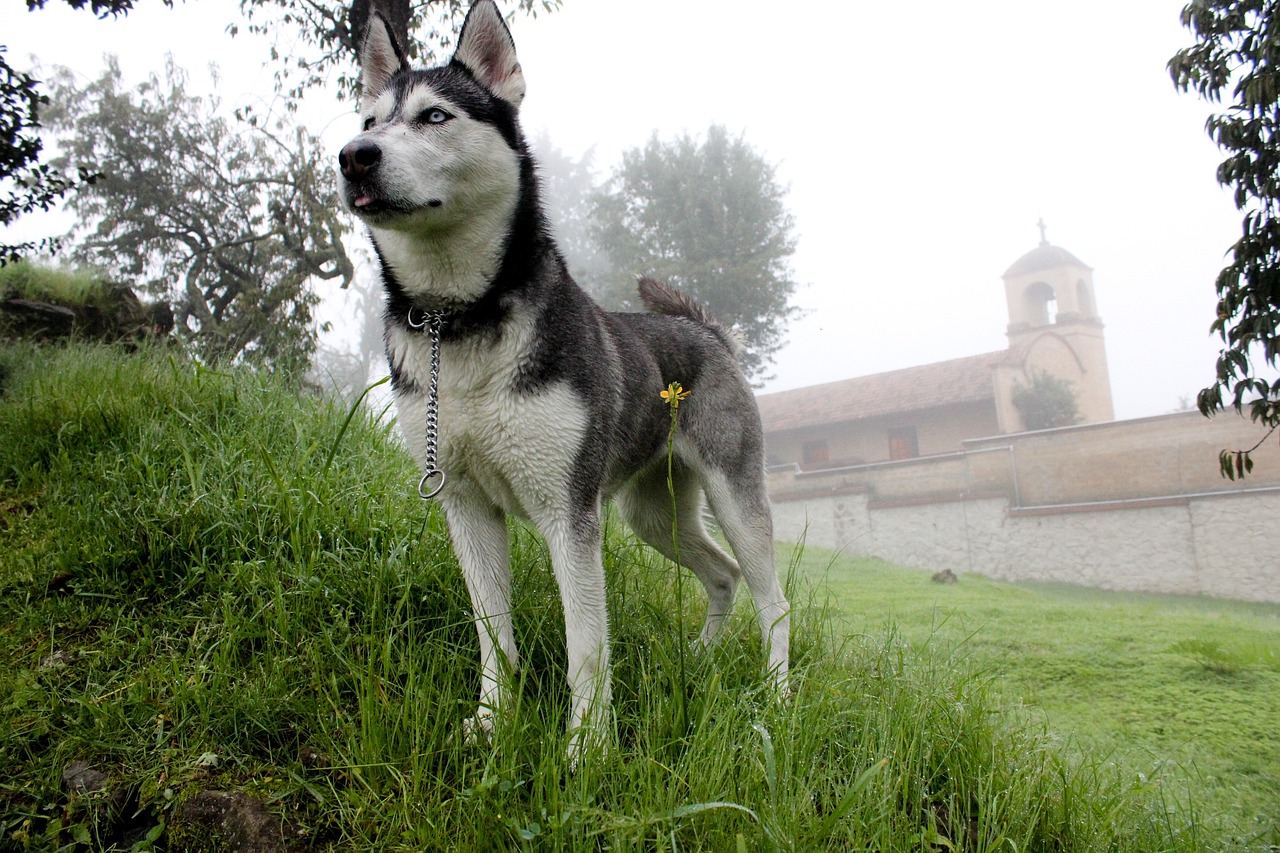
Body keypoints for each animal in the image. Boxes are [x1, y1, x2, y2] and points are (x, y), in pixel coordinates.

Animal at [335, 0, 783, 758]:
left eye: (434, 116)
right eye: (368, 121)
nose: (353, 156)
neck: (460, 320)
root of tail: (709, 333)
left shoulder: (568, 515)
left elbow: (587, 648)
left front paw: (587, 750)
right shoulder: (465, 505)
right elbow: (493, 634)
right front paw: (493, 721)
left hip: (732, 496)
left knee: (771, 599)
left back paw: (779, 697)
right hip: (651, 514)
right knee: (720, 575)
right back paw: (701, 658)